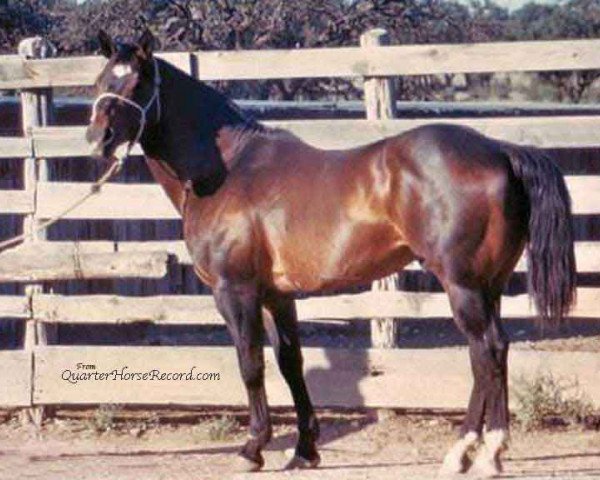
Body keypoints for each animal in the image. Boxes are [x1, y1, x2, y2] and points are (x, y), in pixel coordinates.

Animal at [85, 30, 576, 476]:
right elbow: (290, 363)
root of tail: (500, 151)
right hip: (488, 286)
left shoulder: (235, 291)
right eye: (101, 80)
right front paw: (304, 449)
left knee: (485, 352)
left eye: (137, 82)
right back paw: (481, 452)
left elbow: (250, 363)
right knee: (496, 353)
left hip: (463, 286)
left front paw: (253, 448)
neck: (227, 169)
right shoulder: (276, 295)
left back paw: (473, 452)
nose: (97, 138)